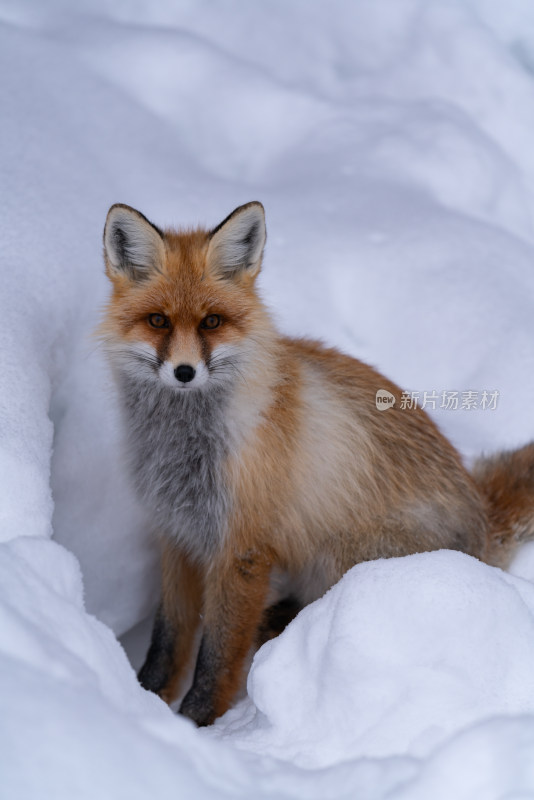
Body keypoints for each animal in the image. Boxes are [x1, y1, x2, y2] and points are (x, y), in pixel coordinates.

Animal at [99, 200, 534, 724]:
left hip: (344, 554)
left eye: (212, 323)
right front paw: (145, 698)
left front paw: (195, 723)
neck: (183, 449)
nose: (184, 372)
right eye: (158, 321)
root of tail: (482, 517)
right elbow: (169, 636)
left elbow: (218, 654)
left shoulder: (242, 547)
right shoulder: (177, 534)